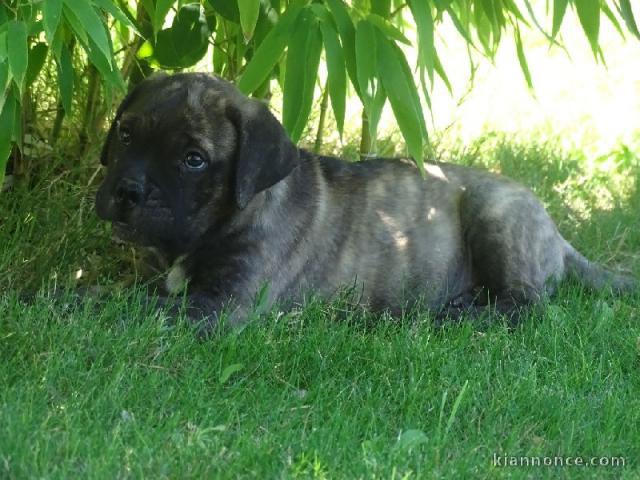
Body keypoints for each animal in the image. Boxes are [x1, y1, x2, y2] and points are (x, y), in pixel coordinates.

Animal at [95, 73, 636, 332]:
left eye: (194, 160)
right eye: (125, 134)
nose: (126, 192)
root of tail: (559, 238)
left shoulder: (222, 305)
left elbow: (123, 306)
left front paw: (71, 303)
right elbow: (125, 294)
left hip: (495, 216)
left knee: (528, 305)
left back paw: (457, 314)